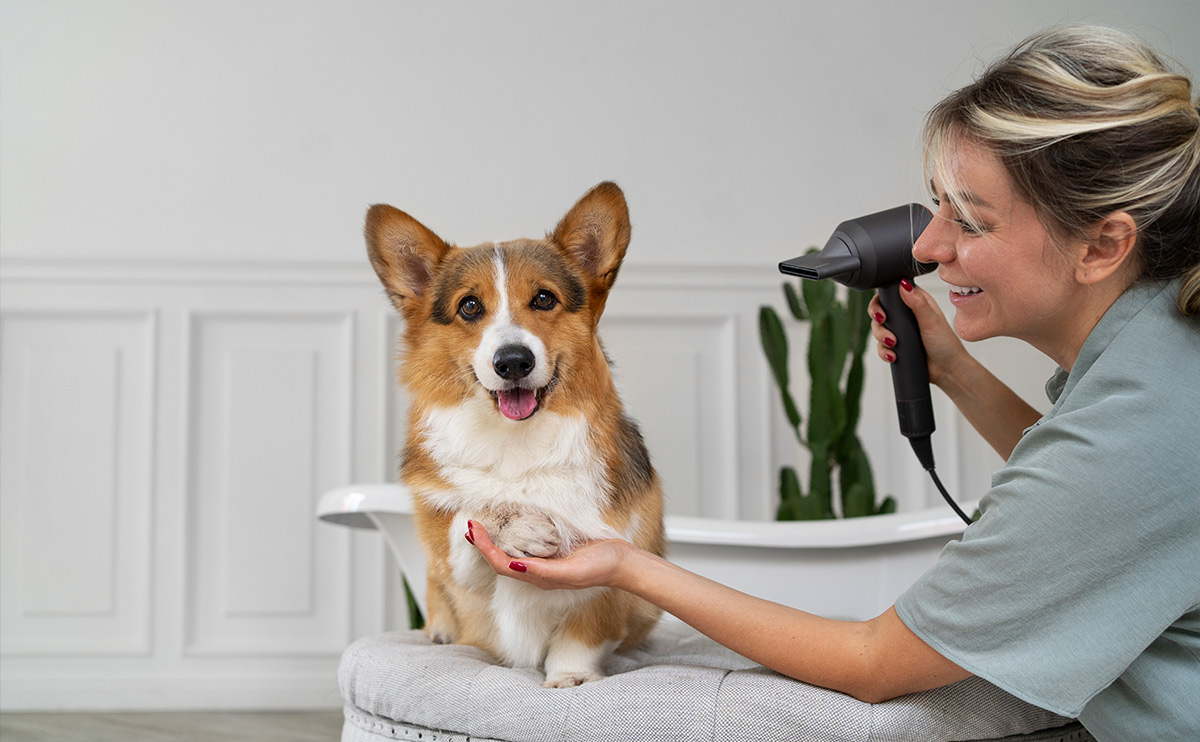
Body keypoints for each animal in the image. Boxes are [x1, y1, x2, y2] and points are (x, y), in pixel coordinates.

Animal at [364, 182, 667, 686]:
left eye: (544, 299)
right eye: (469, 306)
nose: (512, 362)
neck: (516, 440)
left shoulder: (615, 574)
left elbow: (582, 635)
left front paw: (571, 678)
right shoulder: (454, 559)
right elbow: (471, 516)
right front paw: (515, 524)